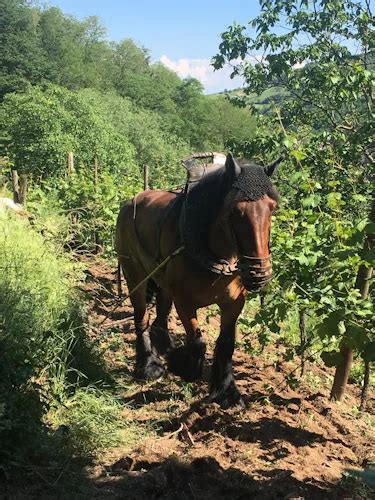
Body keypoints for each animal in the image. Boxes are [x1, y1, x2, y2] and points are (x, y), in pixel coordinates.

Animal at [116, 154, 280, 408]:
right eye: (235, 211)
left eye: (272, 208)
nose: (258, 273)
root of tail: (130, 202)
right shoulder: (185, 302)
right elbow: (198, 342)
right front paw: (183, 367)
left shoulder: (234, 304)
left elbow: (226, 344)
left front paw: (226, 392)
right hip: (135, 276)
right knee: (141, 317)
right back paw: (149, 366)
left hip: (163, 280)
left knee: (161, 313)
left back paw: (163, 346)